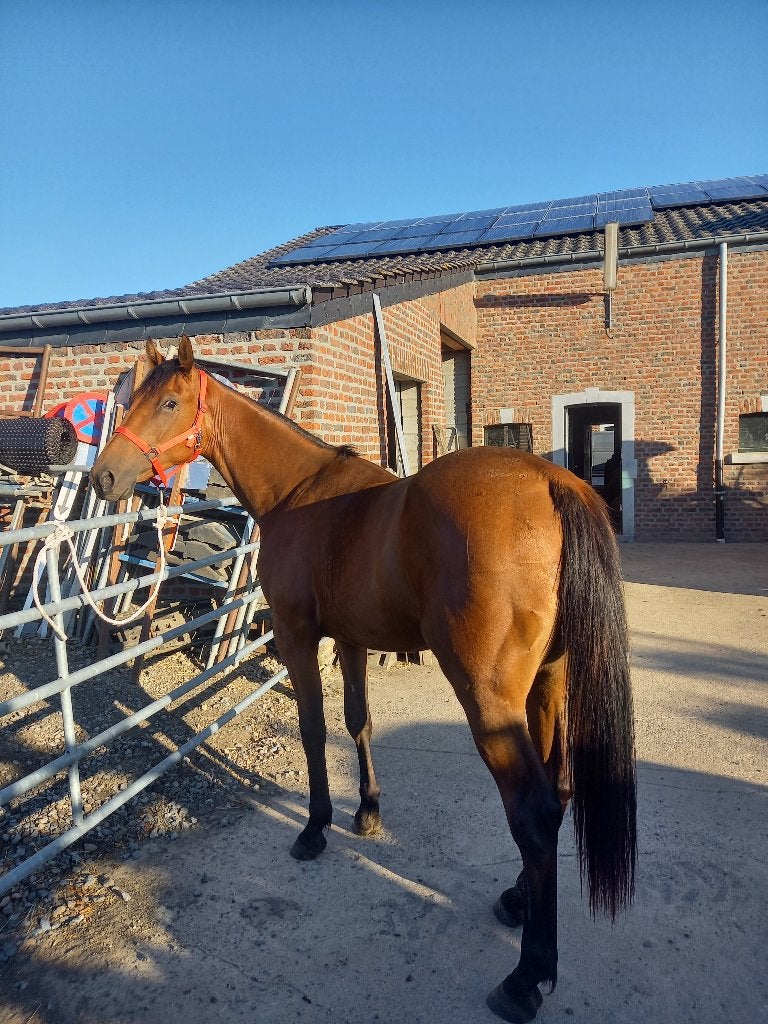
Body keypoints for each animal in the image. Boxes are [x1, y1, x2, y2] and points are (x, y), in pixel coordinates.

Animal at [91, 337, 636, 1023]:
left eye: (168, 402)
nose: (103, 477)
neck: (298, 492)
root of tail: (552, 482)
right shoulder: (349, 640)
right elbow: (357, 722)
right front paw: (368, 812)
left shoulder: (298, 636)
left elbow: (313, 728)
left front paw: (316, 827)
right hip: (549, 682)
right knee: (556, 791)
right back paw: (517, 901)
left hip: (490, 701)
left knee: (533, 812)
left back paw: (526, 977)